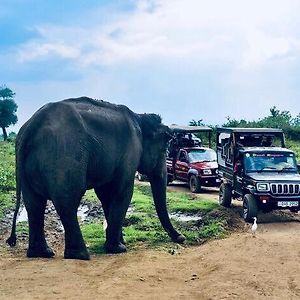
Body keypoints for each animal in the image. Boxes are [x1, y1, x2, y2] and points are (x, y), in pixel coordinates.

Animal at [6, 96, 185, 260]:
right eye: (164, 149)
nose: (181, 238)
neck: (140, 117)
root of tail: (30, 127)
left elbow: (106, 195)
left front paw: (120, 242)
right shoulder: (129, 154)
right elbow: (123, 192)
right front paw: (119, 248)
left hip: (29, 167)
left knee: (34, 204)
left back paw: (43, 253)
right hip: (64, 157)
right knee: (67, 201)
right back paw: (80, 255)